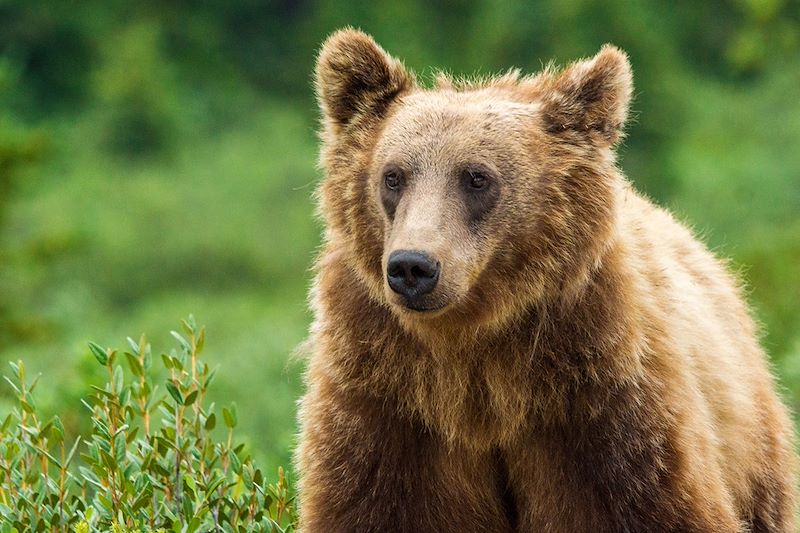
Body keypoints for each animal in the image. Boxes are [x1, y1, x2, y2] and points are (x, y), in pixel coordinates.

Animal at [296, 30, 800, 532]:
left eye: (476, 177)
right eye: (393, 176)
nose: (412, 267)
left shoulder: (600, 397)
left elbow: (649, 505)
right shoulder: (384, 395)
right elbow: (374, 503)